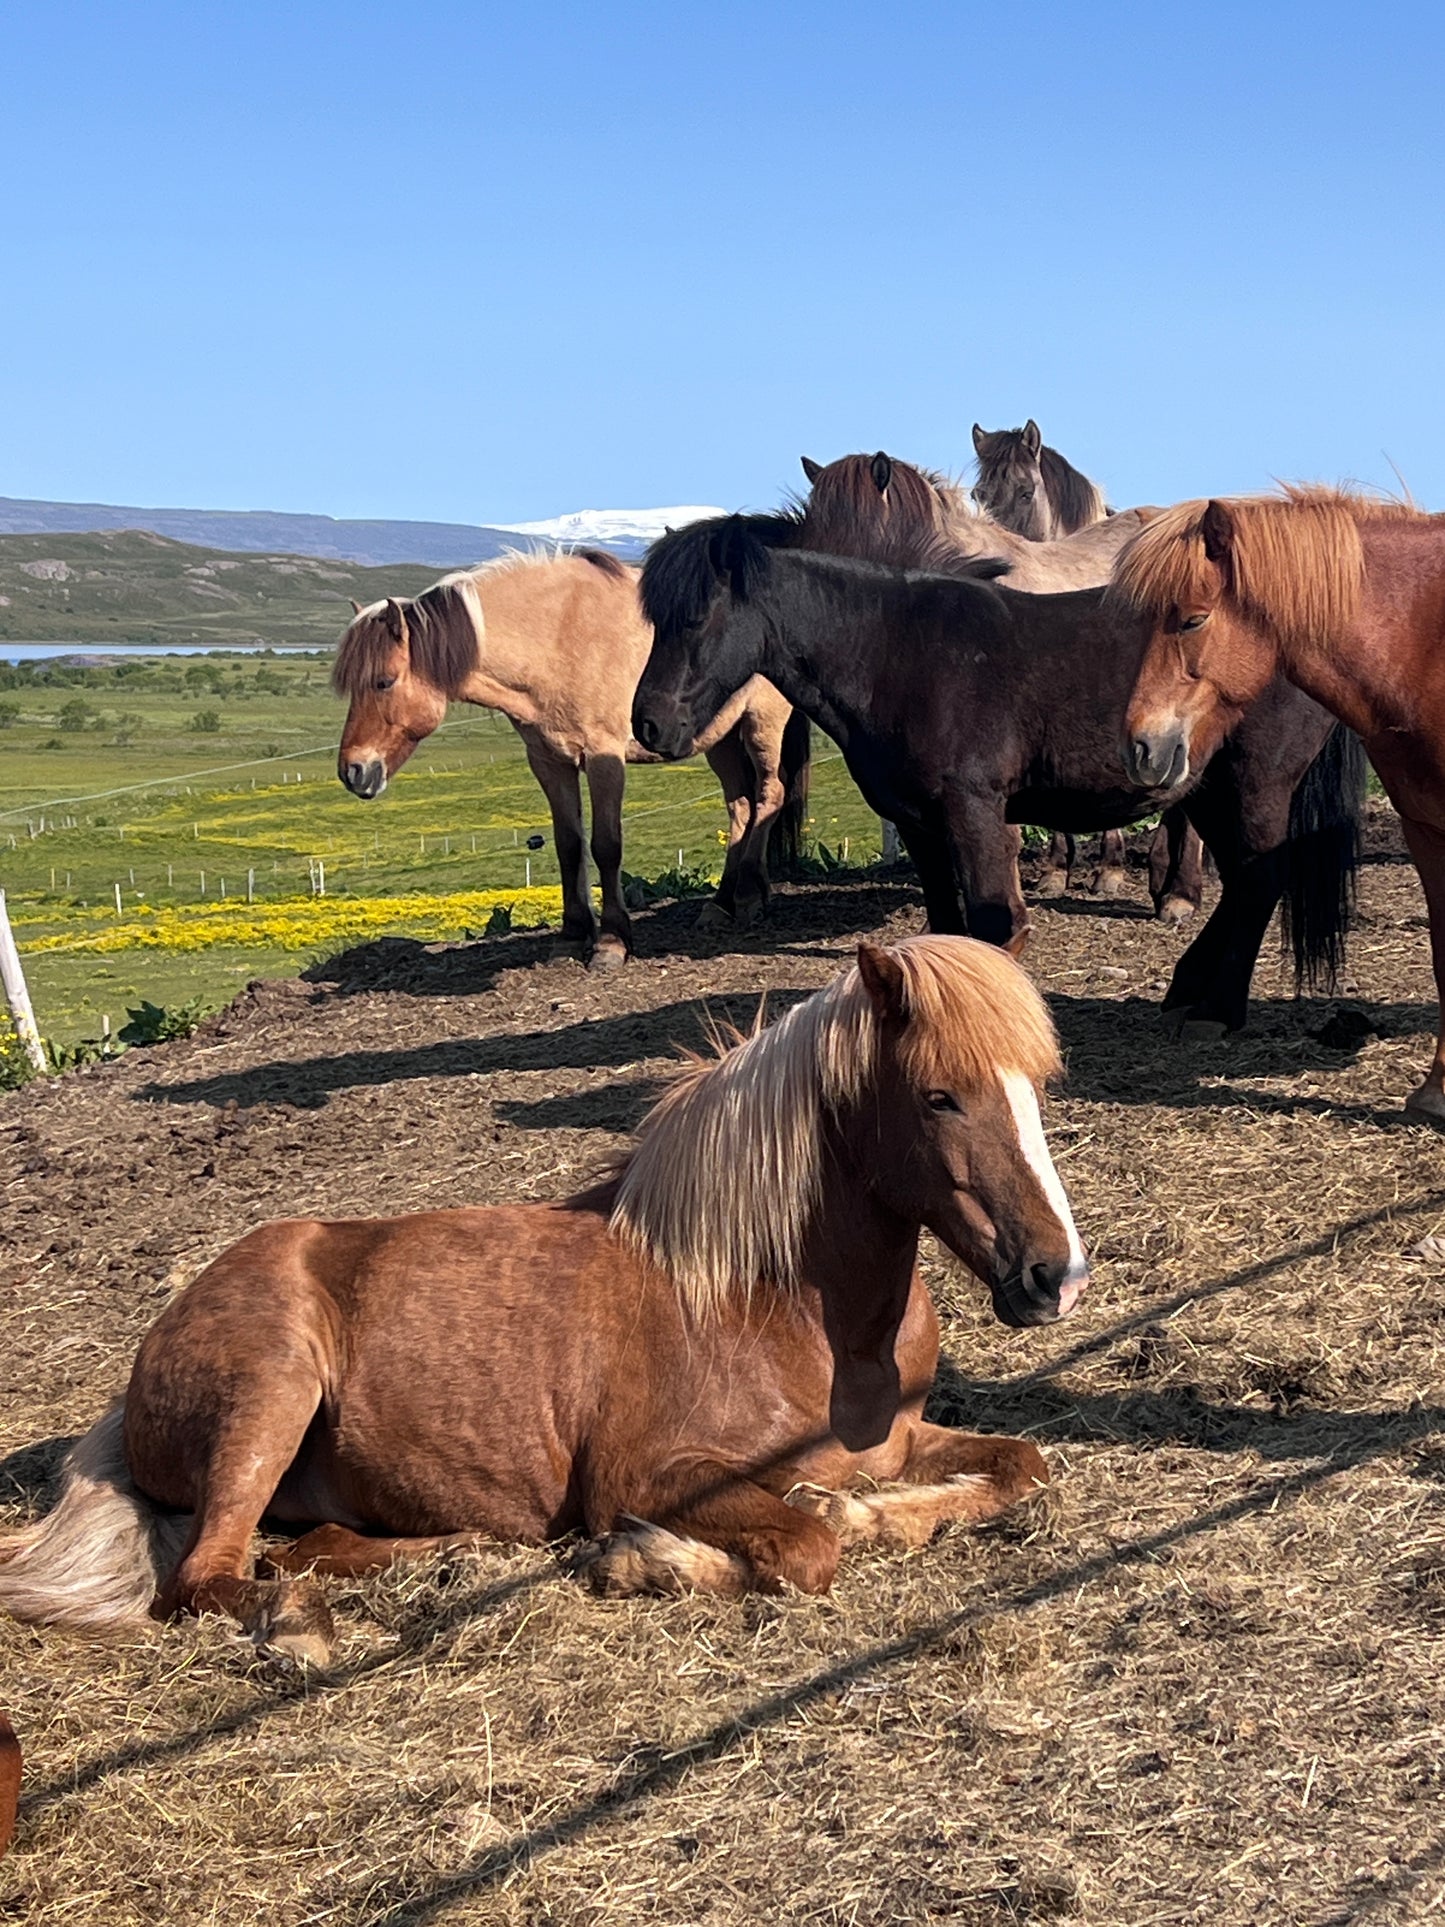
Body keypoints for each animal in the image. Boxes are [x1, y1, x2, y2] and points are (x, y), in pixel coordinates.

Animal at [0, 936, 1086, 1662]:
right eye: (939, 1095)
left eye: (1036, 1082)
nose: (1055, 1276)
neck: (775, 1303)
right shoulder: (649, 1475)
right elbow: (806, 1549)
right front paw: (645, 1561)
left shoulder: (901, 1441)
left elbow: (1016, 1468)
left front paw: (856, 1507)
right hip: (269, 1391)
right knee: (206, 1578)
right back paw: (301, 1629)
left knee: (306, 1547)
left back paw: (439, 1556)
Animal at [333, 548, 810, 962]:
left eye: (384, 681)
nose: (353, 771)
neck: (557, 639)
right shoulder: (549, 762)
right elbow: (569, 845)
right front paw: (573, 935)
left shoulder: (603, 757)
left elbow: (606, 845)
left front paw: (612, 941)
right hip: (720, 740)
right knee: (741, 806)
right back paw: (721, 903)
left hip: (761, 724)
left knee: (769, 795)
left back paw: (747, 896)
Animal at [633, 515, 1364, 1039]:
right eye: (653, 622)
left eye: (694, 618)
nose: (648, 725)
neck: (894, 654)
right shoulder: (921, 826)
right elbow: (942, 925)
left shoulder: (975, 813)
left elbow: (992, 927)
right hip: (1209, 789)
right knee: (1241, 880)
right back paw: (1187, 991)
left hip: (1255, 781)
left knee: (1259, 879)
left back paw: (1218, 1009)